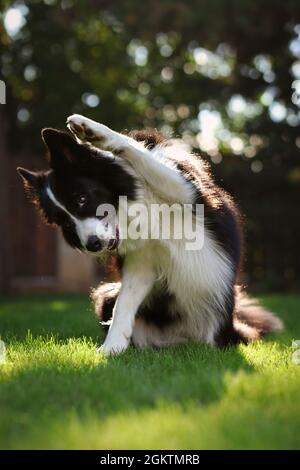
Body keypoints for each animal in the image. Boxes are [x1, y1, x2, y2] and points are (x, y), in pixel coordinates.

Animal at [17, 114, 282, 354]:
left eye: (82, 199)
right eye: (64, 222)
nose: (92, 245)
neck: (136, 203)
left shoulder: (185, 191)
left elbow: (137, 152)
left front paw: (91, 130)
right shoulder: (141, 264)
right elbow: (123, 305)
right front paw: (111, 348)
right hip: (105, 293)